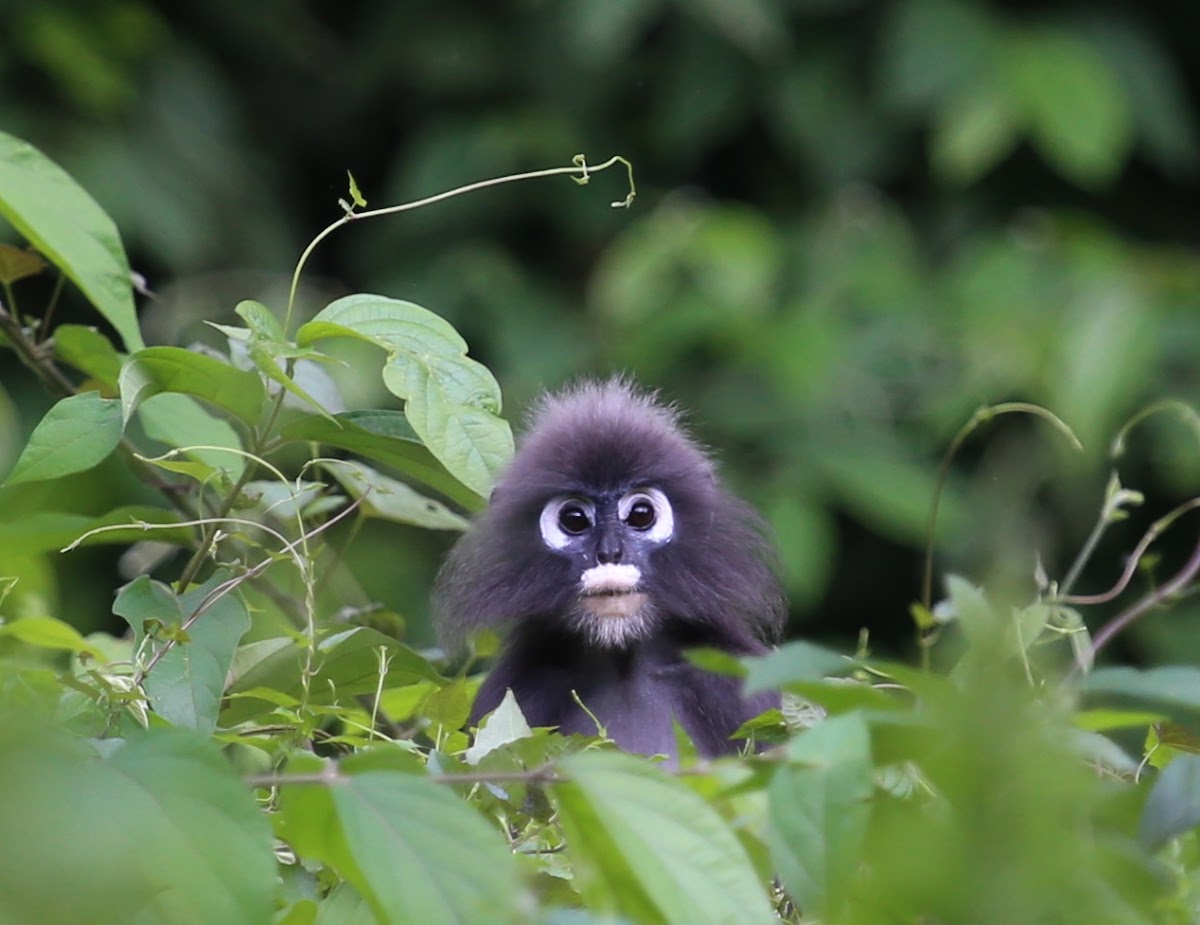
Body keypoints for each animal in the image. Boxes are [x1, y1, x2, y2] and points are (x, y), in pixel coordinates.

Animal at [432, 376, 787, 758]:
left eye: (641, 513)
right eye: (574, 518)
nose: (610, 552)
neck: (622, 661)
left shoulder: (744, 689)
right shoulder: (511, 695)